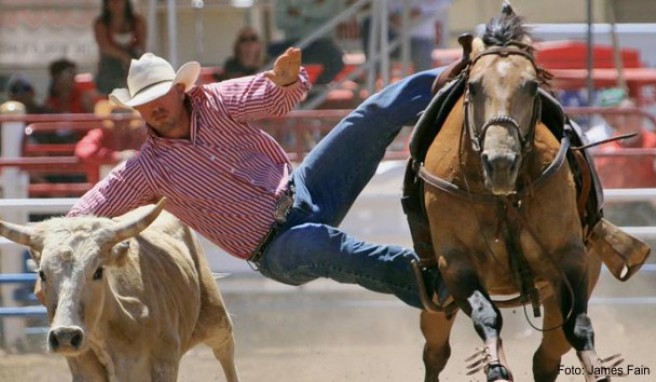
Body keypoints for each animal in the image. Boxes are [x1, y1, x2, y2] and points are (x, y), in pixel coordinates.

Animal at [418, 2, 612, 382]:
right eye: (474, 86)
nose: (501, 163)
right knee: (435, 353)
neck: (502, 199)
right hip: (435, 304)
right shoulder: (455, 264)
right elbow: (487, 317)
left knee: (547, 357)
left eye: (533, 87)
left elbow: (579, 327)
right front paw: (495, 367)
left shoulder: (570, 259)